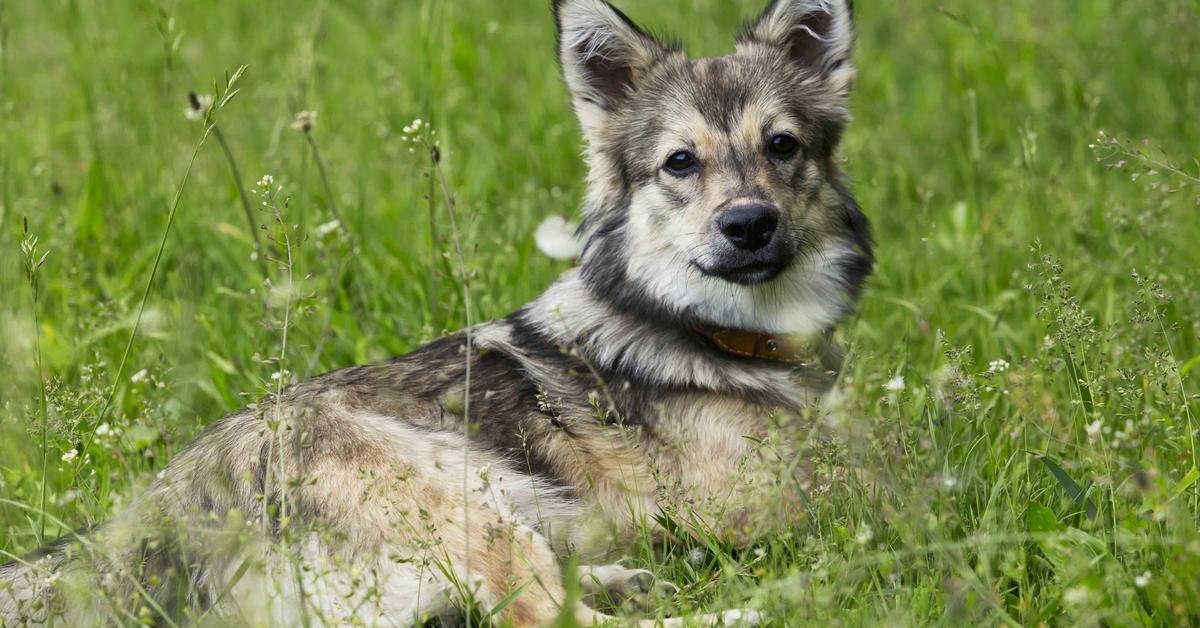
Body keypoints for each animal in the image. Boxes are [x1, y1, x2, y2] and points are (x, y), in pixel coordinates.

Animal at [0, 0, 873, 624]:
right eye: (680, 163)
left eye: (783, 146)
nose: (749, 224)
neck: (716, 332)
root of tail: (151, 517)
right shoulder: (751, 502)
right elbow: (889, 488)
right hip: (467, 499)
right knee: (544, 616)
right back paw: (757, 603)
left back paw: (626, 579)